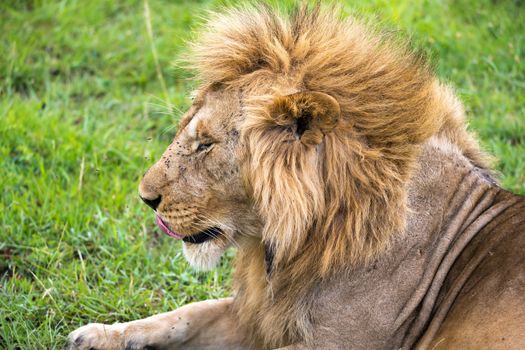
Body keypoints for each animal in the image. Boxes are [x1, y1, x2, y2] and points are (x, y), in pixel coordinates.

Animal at [68, 3, 524, 350]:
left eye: (205, 144)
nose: (145, 198)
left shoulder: (343, 343)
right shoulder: (258, 315)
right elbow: (185, 315)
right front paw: (99, 335)